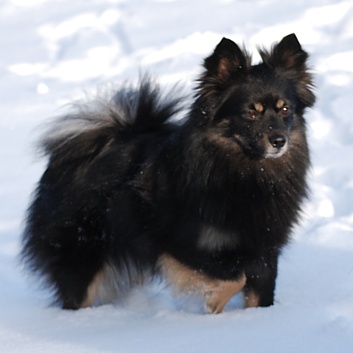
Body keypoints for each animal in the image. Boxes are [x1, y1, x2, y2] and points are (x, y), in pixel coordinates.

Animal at [21, 34, 314, 312]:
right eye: (250, 114)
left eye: (285, 109)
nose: (279, 140)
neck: (248, 173)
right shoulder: (180, 245)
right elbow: (234, 278)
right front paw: (212, 304)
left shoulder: (264, 252)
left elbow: (257, 293)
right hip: (81, 256)